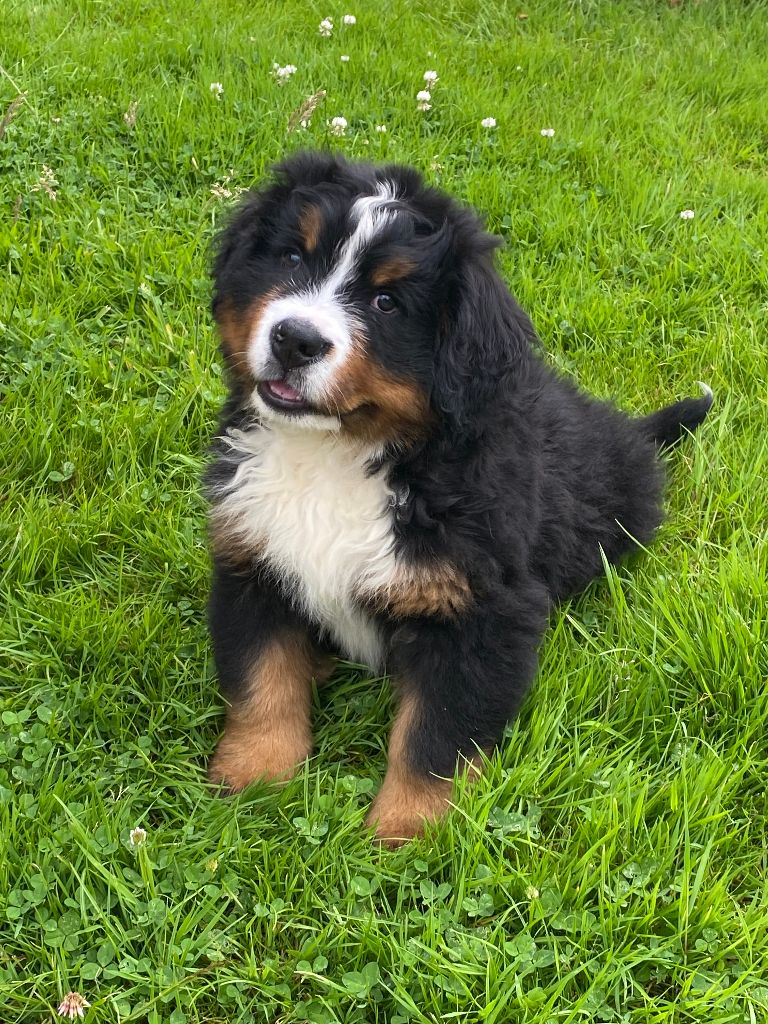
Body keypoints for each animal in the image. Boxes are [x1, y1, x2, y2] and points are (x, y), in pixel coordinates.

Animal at [204, 151, 711, 845]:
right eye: (290, 258)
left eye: (386, 301)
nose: (295, 339)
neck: (339, 455)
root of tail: (630, 431)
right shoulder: (253, 561)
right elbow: (262, 681)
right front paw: (255, 778)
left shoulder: (481, 607)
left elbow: (434, 732)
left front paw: (406, 833)